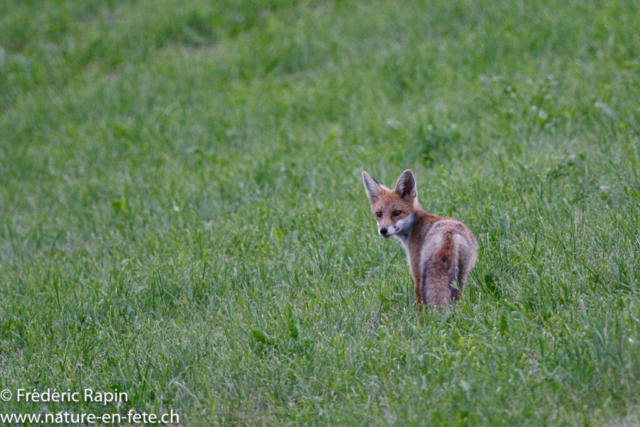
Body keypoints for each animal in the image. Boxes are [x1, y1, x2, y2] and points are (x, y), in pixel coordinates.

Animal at [362, 170, 478, 310]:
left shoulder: (416, 271)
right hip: (462, 274)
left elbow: (419, 299)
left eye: (396, 212)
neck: (415, 224)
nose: (383, 230)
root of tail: (450, 233)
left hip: (425, 271)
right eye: (379, 214)